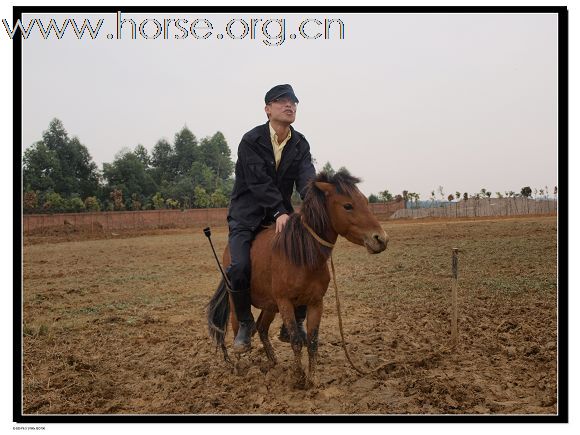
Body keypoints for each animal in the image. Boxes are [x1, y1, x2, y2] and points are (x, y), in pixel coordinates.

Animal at [206, 170, 388, 388]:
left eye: (365, 201)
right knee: (238, 331)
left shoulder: (315, 303)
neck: (301, 254)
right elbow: (295, 341)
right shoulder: (285, 302)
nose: (381, 239)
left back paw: (272, 361)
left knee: (261, 328)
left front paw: (313, 379)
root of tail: (227, 254)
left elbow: (312, 341)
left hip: (270, 305)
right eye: (348, 206)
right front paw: (298, 377)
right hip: (238, 303)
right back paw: (239, 366)